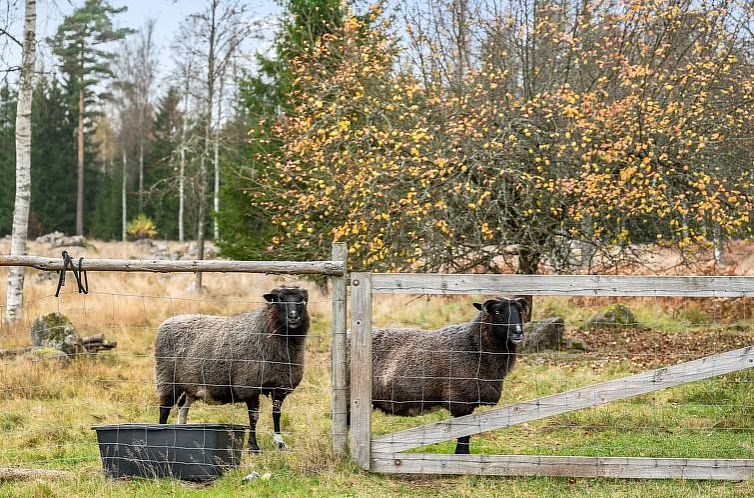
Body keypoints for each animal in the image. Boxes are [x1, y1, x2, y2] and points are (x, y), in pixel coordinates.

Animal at [153, 286, 308, 454]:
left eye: (302, 300)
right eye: (279, 299)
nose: (293, 317)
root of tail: (168, 321)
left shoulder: (280, 385)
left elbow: (276, 414)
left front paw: (279, 442)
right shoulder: (249, 385)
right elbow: (254, 417)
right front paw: (253, 447)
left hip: (191, 383)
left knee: (183, 406)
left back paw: (182, 429)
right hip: (167, 377)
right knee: (164, 408)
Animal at [356, 298, 524, 454]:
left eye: (520, 311)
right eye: (497, 312)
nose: (518, 332)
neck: (475, 347)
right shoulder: (460, 400)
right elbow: (463, 437)